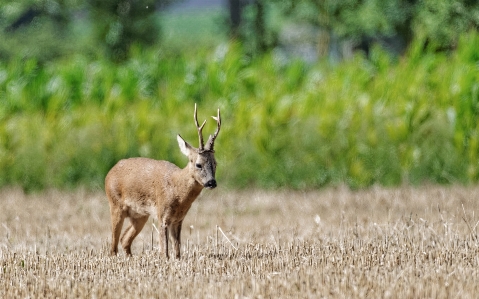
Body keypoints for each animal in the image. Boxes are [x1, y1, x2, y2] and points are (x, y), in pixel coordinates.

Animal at [105, 104, 221, 258]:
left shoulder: (178, 219)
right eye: (198, 164)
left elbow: (177, 250)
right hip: (115, 204)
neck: (177, 190)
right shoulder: (162, 215)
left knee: (124, 239)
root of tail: (109, 173)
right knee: (113, 245)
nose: (211, 182)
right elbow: (164, 251)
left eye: (215, 163)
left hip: (140, 215)